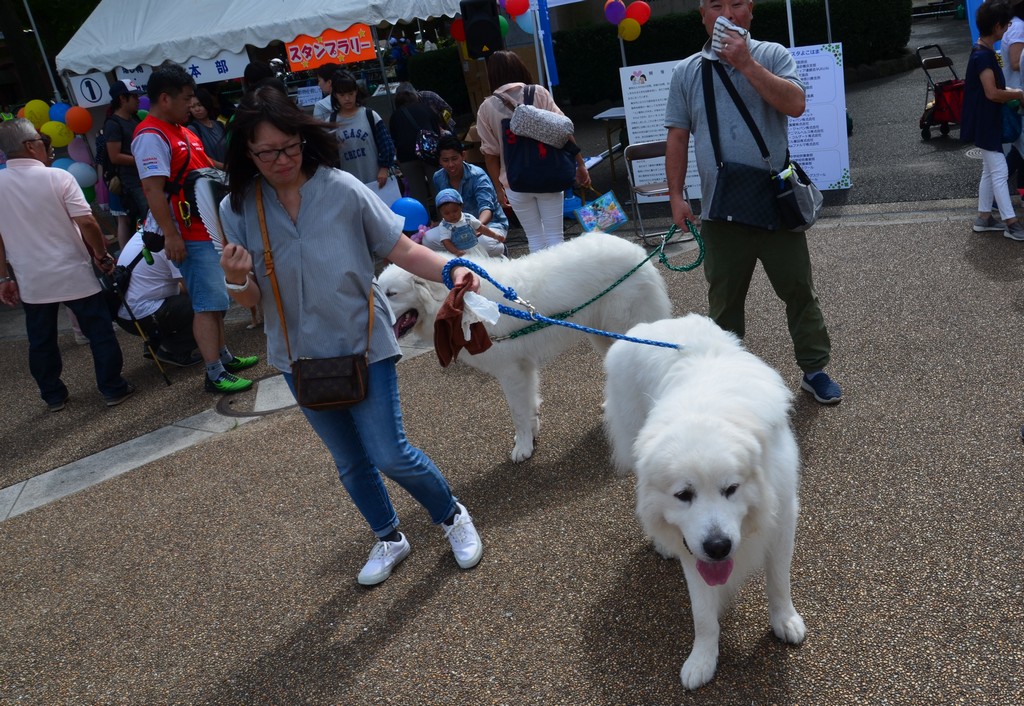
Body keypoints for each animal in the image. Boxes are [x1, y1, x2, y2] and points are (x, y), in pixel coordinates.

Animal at [380, 232, 675, 463]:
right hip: (602, 335)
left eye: (391, 294)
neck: (461, 301)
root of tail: (638, 251)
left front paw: (522, 447)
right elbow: (529, 406)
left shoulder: (511, 370)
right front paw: (531, 435)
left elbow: (517, 411)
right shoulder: (524, 367)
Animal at [598, 313, 806, 688]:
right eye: (684, 495)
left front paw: (785, 620)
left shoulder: (783, 519)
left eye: (731, 489)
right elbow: (703, 614)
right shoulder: (692, 548)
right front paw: (702, 660)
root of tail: (649, 326)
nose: (718, 547)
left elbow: (779, 581)